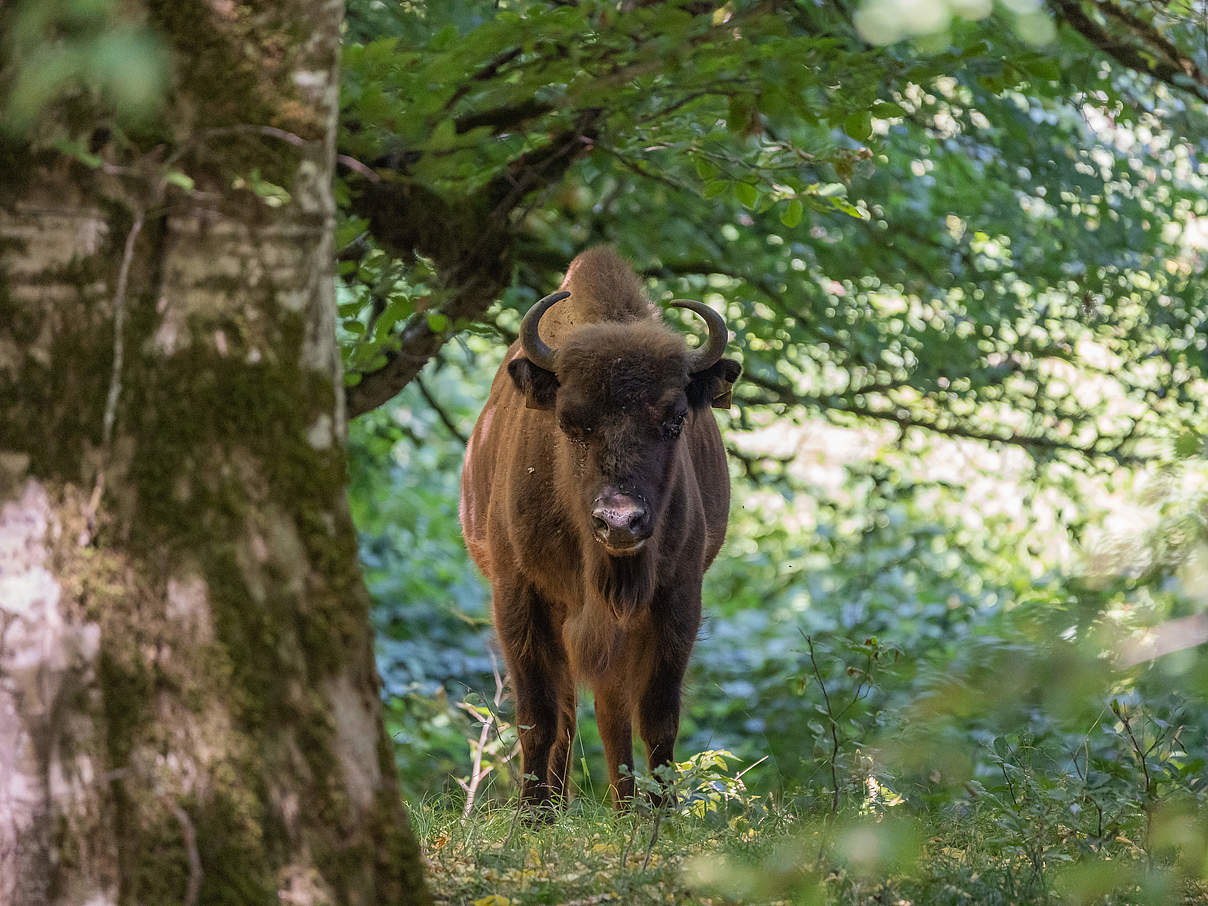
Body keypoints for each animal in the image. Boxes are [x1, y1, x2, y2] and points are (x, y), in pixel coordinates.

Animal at [459, 246, 734, 806]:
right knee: (568, 711)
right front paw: (533, 815)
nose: (620, 521)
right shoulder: (519, 596)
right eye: (569, 423)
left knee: (611, 712)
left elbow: (657, 717)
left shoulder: (676, 598)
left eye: (675, 420)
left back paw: (625, 806)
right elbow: (538, 716)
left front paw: (659, 810)